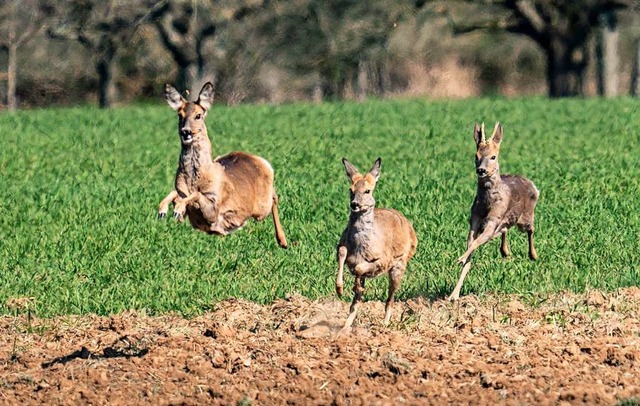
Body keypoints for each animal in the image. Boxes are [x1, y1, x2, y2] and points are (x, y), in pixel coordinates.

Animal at [159, 81, 288, 249]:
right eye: (179, 115)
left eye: (198, 115)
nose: (186, 132)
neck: (196, 178)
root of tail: (258, 159)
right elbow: (175, 193)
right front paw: (163, 210)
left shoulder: (214, 208)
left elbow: (196, 195)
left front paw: (177, 209)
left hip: (262, 207)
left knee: (274, 198)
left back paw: (283, 241)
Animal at [336, 157, 420, 332]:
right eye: (350, 190)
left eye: (367, 191)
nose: (354, 204)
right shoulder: (342, 244)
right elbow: (342, 253)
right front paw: (340, 290)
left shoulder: (384, 259)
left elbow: (360, 268)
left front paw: (355, 284)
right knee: (355, 305)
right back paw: (345, 327)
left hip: (399, 265)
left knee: (390, 297)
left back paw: (385, 324)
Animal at [450, 122, 540, 300]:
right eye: (476, 156)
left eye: (493, 157)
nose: (481, 170)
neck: (486, 205)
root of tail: (532, 185)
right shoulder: (474, 220)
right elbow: (471, 249)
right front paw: (454, 295)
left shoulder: (493, 221)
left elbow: (475, 243)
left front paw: (460, 258)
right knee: (505, 229)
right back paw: (505, 252)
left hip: (525, 217)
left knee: (531, 229)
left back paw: (533, 255)